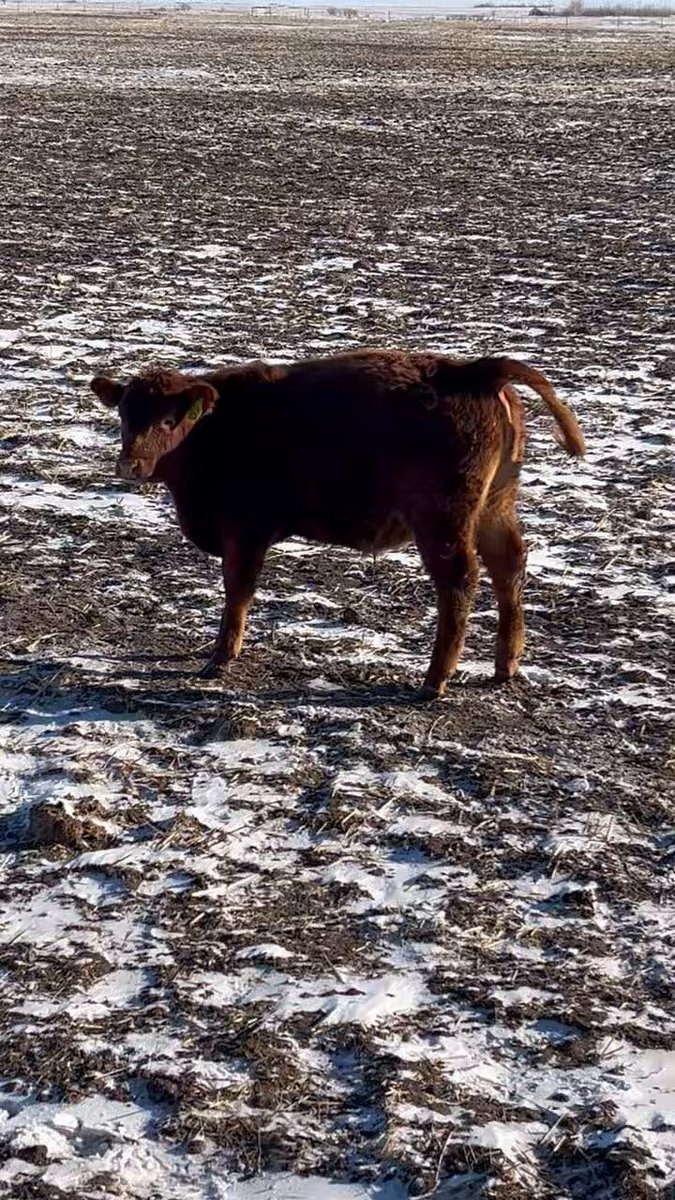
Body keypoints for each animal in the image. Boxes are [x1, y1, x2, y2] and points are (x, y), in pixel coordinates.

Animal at [90, 350, 584, 697]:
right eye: (124, 416)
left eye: (169, 420)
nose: (129, 465)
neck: (216, 429)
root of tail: (469, 371)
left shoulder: (244, 533)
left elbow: (238, 592)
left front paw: (221, 657)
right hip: (494, 507)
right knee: (509, 568)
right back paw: (505, 666)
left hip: (444, 522)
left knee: (460, 583)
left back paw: (434, 682)